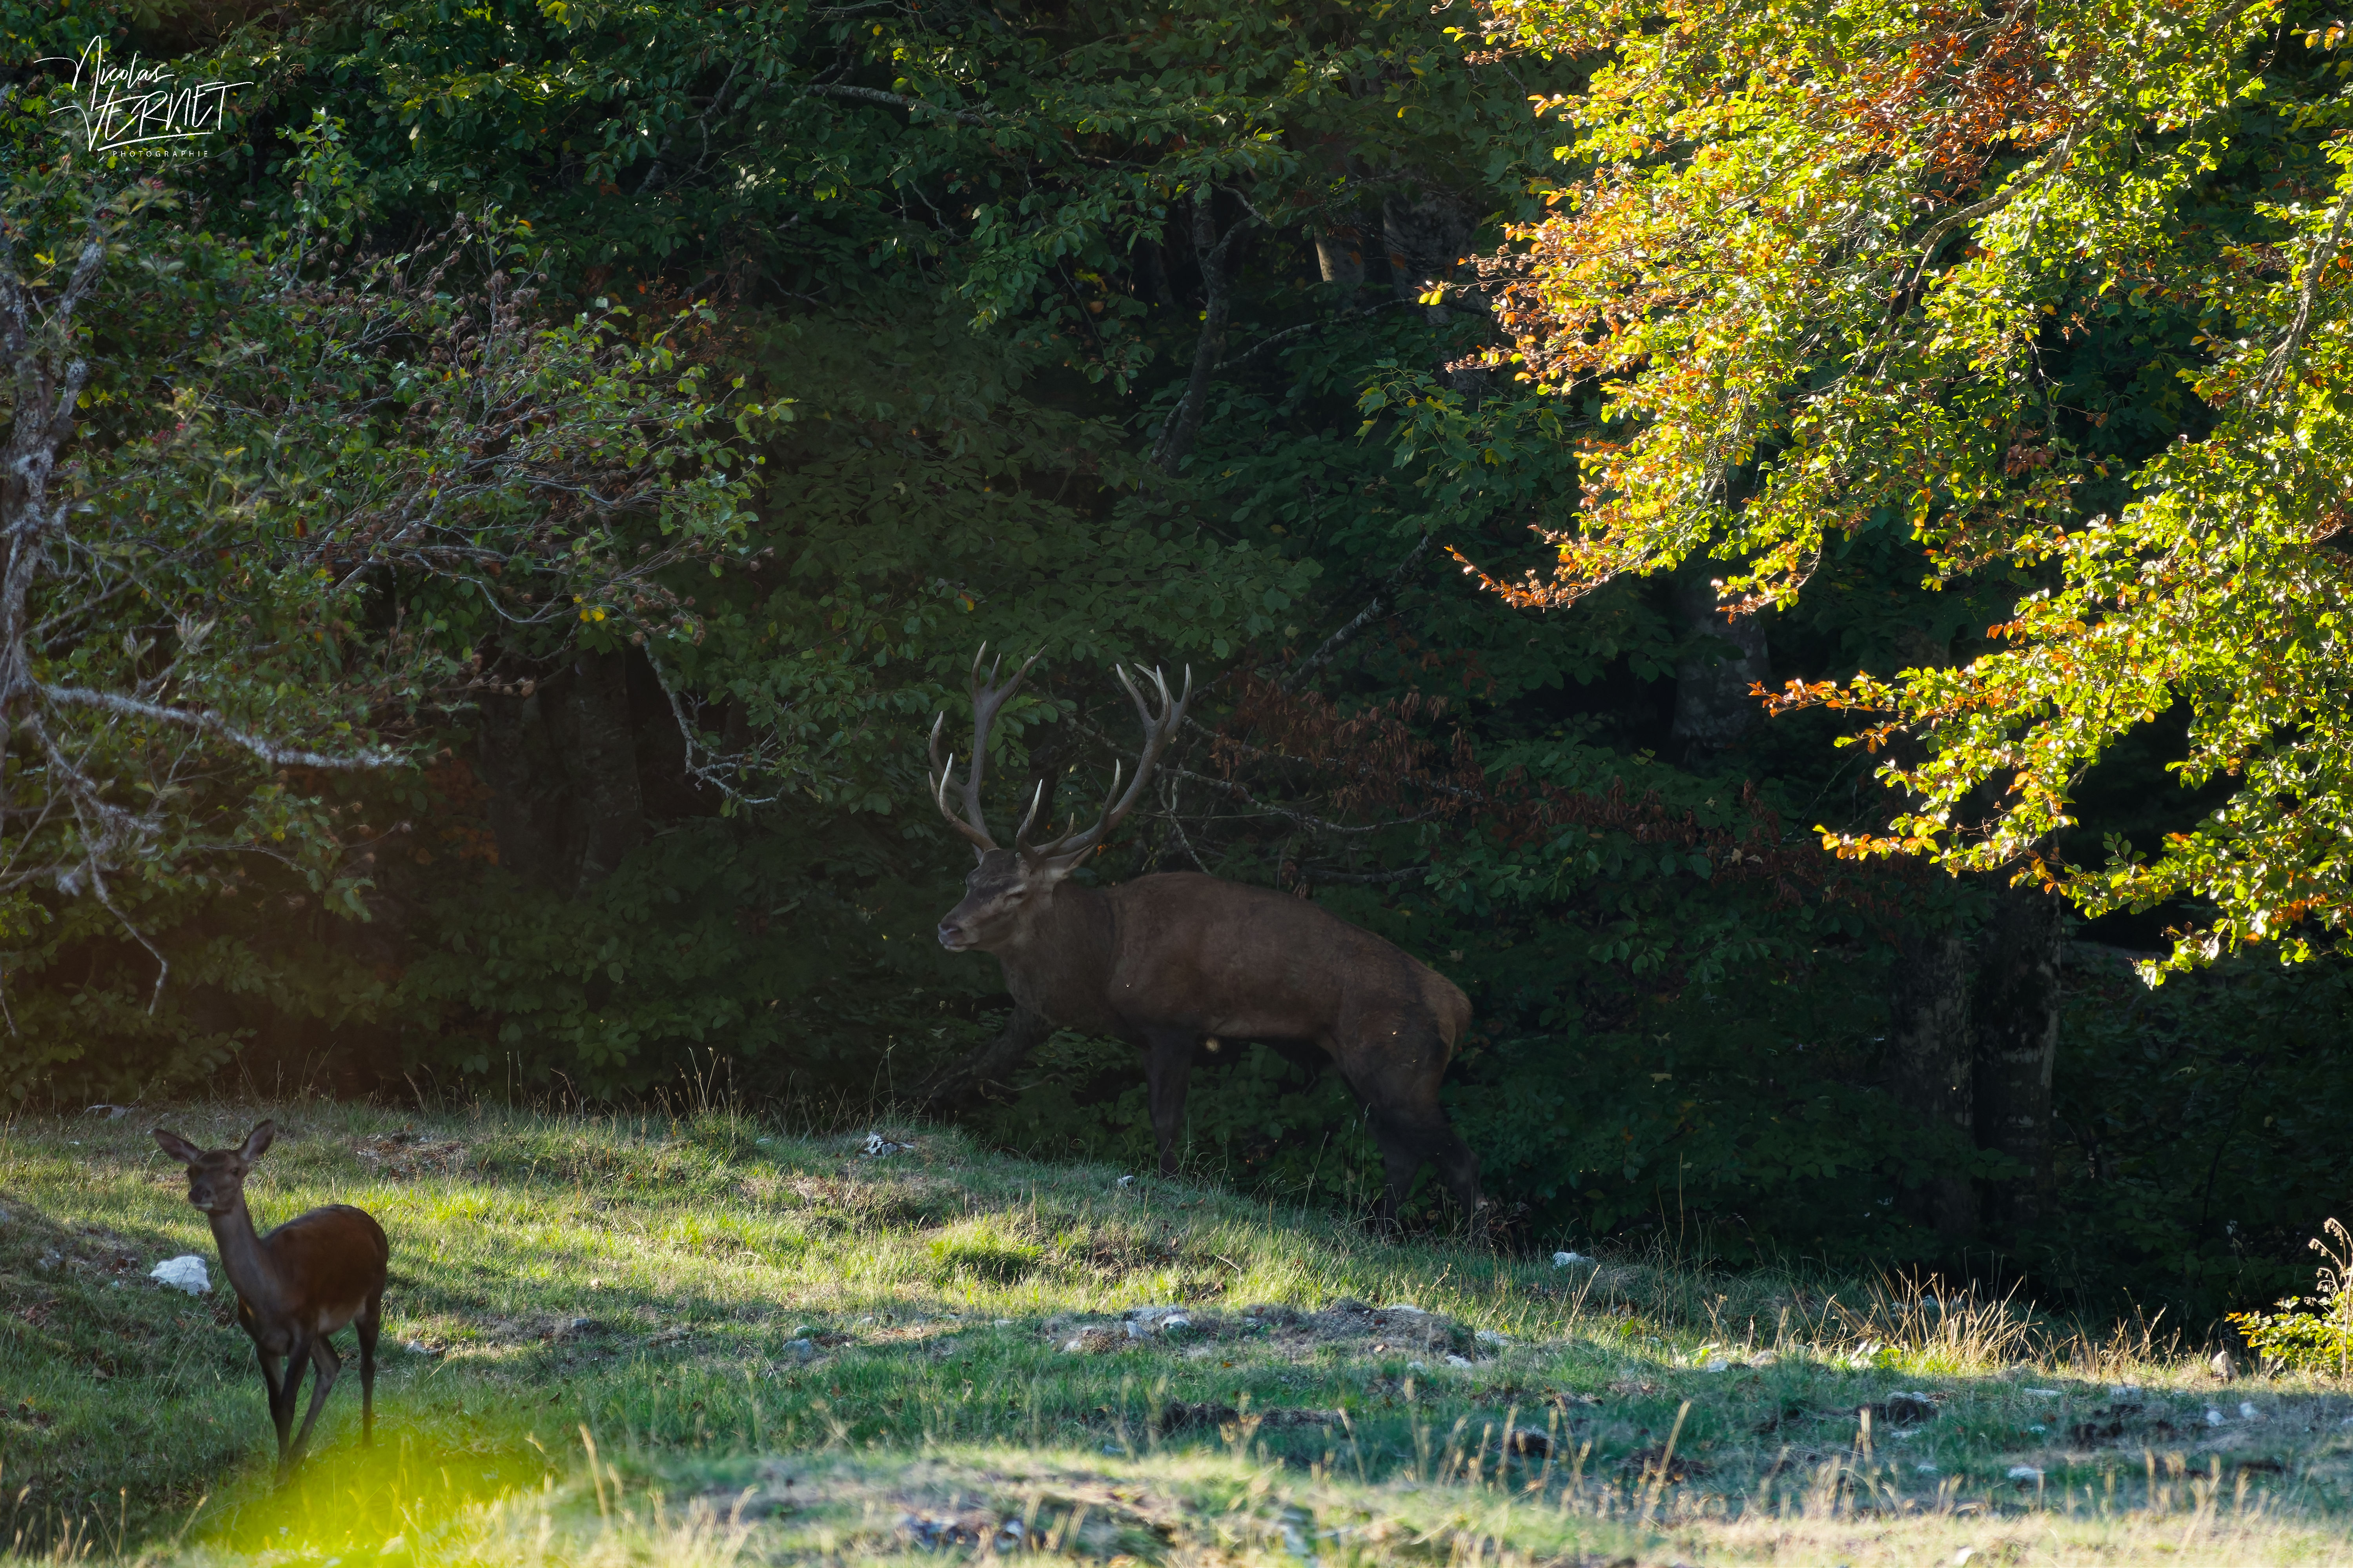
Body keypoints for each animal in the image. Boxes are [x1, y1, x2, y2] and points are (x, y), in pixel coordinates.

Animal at [153, 1120, 389, 1480]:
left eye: (235, 1170)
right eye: (191, 1170)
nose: (199, 1193)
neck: (270, 1295)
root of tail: (374, 1224)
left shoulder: (302, 1331)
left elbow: (288, 1403)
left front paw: (281, 1483)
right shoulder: (264, 1341)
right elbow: (276, 1408)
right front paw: (282, 1472)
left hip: (372, 1297)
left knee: (366, 1367)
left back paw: (366, 1442)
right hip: (320, 1329)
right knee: (332, 1366)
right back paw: (300, 1454)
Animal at [928, 648, 1484, 1230]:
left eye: (1015, 891)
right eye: (971, 879)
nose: (949, 926)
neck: (1109, 961)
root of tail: (1459, 1005)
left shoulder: (1175, 1022)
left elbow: (1167, 1122)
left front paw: (1171, 1186)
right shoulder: (1150, 1035)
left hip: (1402, 1065)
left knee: (1458, 1159)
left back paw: (1468, 1242)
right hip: (1362, 1068)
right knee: (1401, 1155)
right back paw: (1381, 1230)